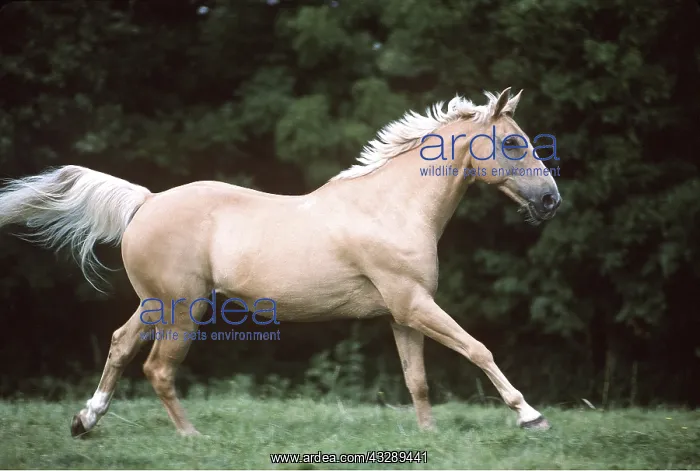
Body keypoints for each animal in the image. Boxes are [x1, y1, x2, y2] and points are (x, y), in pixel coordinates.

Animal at [0, 87, 561, 437]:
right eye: (513, 141)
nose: (551, 199)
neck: (391, 207)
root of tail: (147, 200)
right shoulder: (413, 304)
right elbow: (478, 349)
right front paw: (530, 415)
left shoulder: (404, 313)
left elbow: (417, 379)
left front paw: (429, 436)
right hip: (184, 308)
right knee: (158, 368)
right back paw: (192, 438)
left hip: (157, 304)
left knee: (119, 346)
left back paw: (85, 421)